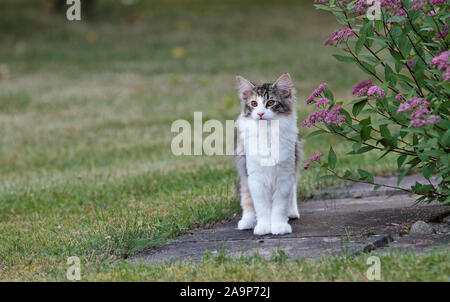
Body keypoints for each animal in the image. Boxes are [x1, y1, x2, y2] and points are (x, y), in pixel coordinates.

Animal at [236, 73, 302, 236]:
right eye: (254, 103)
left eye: (270, 102)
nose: (260, 113)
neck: (267, 131)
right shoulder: (256, 179)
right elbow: (262, 207)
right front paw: (264, 227)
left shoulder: (284, 176)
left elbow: (279, 206)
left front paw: (279, 226)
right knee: (246, 199)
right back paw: (247, 221)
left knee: (292, 191)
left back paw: (291, 213)